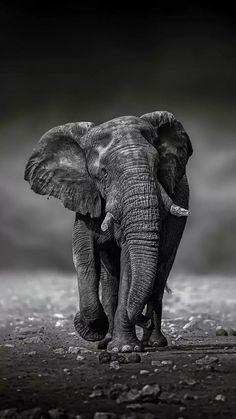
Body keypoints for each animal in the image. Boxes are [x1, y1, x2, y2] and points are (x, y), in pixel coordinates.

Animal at [24, 110, 193, 352]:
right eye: (103, 173)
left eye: (156, 165)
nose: (143, 319)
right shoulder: (85, 196)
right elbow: (84, 255)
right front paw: (93, 329)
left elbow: (129, 261)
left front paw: (125, 348)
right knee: (110, 275)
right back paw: (107, 341)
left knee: (161, 268)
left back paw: (152, 342)